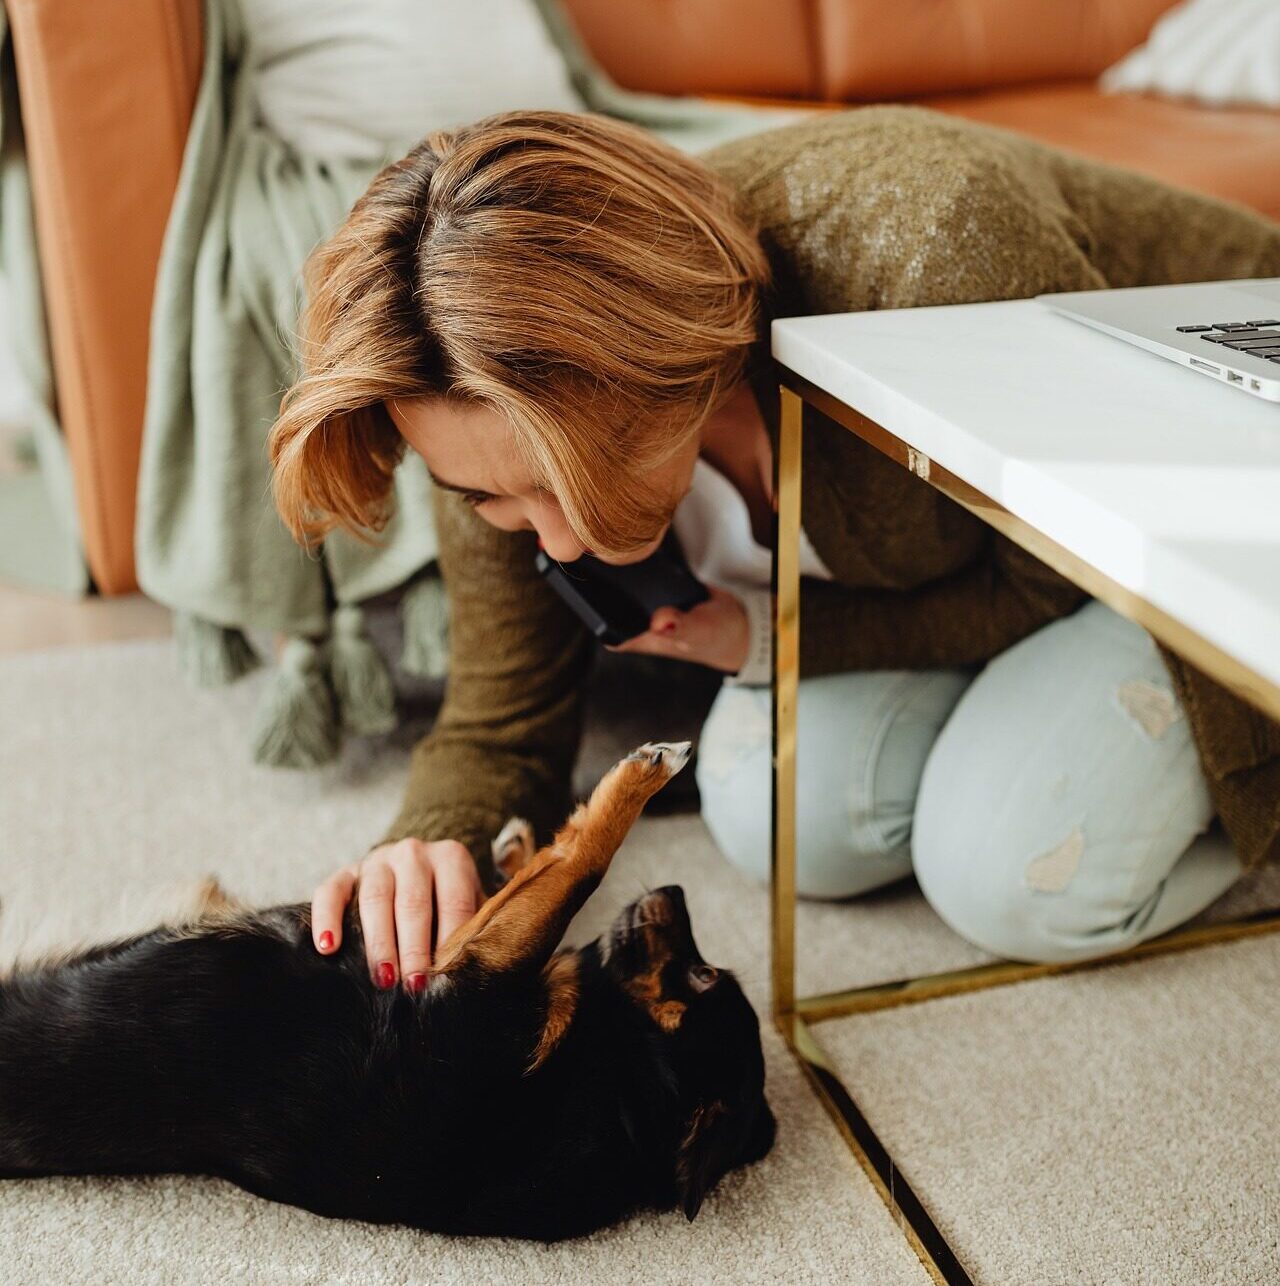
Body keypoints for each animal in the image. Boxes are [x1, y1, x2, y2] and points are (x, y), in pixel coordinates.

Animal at [0, 745, 771, 1234]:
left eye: (703, 976)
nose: (676, 890)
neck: (621, 1077)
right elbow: (547, 880)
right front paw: (514, 848)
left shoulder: (470, 980)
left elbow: (577, 869)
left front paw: (636, 782)